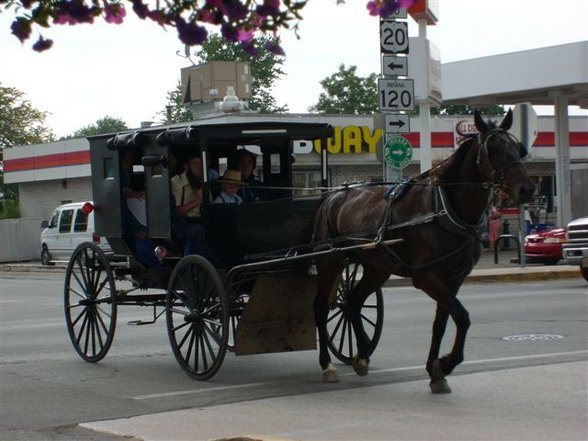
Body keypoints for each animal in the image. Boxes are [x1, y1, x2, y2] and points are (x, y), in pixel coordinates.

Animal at [310, 110, 536, 392]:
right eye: (493, 149)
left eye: (519, 148)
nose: (527, 188)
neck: (445, 209)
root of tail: (332, 196)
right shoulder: (427, 277)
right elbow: (462, 316)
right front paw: (447, 363)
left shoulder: (454, 279)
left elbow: (441, 323)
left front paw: (435, 371)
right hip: (329, 261)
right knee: (320, 307)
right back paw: (327, 364)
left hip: (376, 267)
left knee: (353, 301)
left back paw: (361, 356)